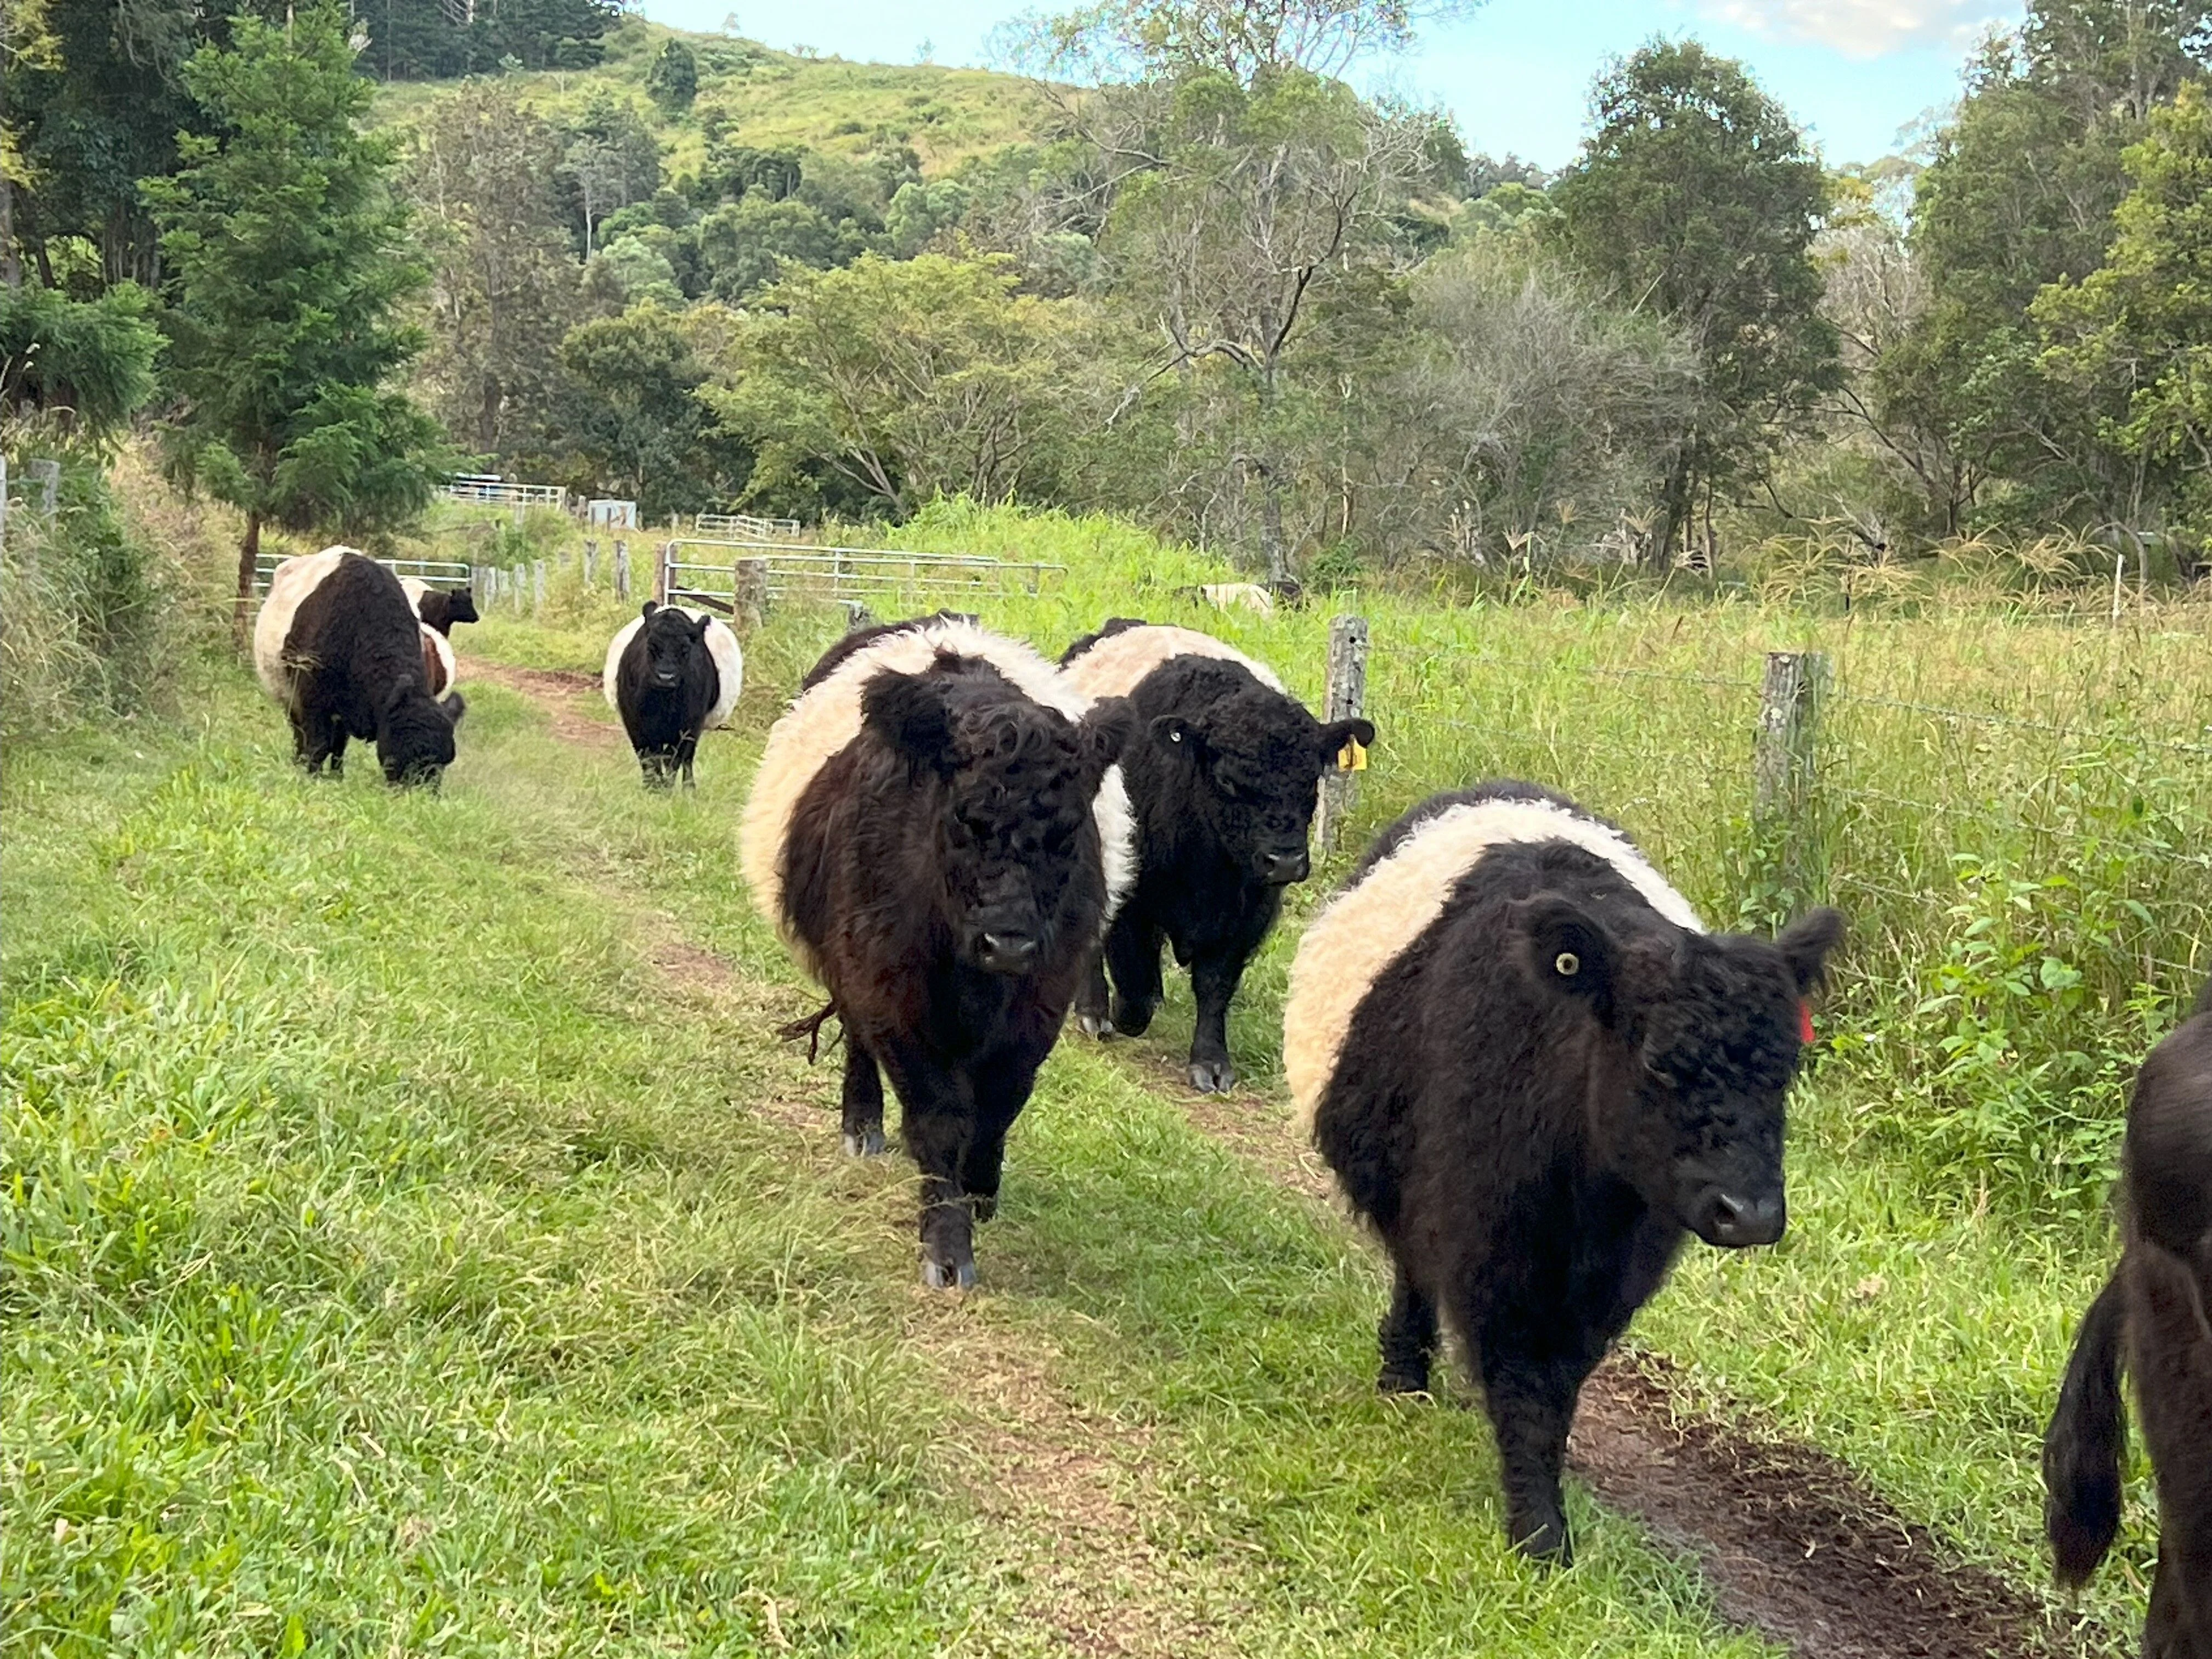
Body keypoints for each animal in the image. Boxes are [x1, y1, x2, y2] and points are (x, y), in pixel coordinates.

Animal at [253, 547, 466, 786]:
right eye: (408, 751)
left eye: (445, 762)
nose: (422, 794)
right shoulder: (312, 702)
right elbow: (318, 746)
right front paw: (312, 778)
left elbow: (337, 747)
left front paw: (336, 779)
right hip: (290, 699)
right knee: (300, 736)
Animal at [601, 602, 744, 788]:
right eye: (651, 646)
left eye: (685, 650)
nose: (665, 677)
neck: (664, 702)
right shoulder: (635, 724)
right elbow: (648, 758)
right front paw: (651, 787)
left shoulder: (688, 726)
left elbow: (673, 759)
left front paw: (665, 788)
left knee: (687, 758)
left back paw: (689, 788)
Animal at [740, 616, 1135, 1289]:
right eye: (963, 818)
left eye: (1067, 833)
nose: (1008, 941)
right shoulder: (893, 993)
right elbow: (938, 1118)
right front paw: (947, 1246)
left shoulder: (1042, 1000)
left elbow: (999, 1106)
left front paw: (980, 1189)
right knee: (857, 1040)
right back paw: (863, 1127)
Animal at [1059, 620, 1374, 1092]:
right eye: (1226, 781)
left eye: (1312, 778)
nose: (1285, 861)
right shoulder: (1133, 897)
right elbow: (1132, 980)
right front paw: (1120, 1013)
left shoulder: (1249, 912)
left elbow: (1215, 985)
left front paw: (1211, 1062)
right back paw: (1094, 1011)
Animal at [1286, 781, 1843, 1564]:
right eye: (1655, 1060)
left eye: (1787, 1068)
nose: (1751, 1214)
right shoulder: (1488, 1239)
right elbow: (1522, 1380)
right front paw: (1540, 1532)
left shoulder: (1617, 1271)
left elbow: (1559, 1384)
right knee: (1413, 1270)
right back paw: (1403, 1373)